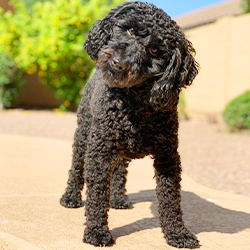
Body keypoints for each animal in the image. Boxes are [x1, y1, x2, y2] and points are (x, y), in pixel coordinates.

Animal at [60, 1, 199, 248]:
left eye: (155, 51)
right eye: (131, 30)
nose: (119, 64)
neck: (135, 102)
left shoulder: (167, 155)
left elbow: (170, 197)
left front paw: (177, 233)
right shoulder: (99, 149)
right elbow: (96, 194)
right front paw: (97, 232)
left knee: (119, 170)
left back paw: (117, 198)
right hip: (83, 134)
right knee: (76, 167)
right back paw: (71, 197)